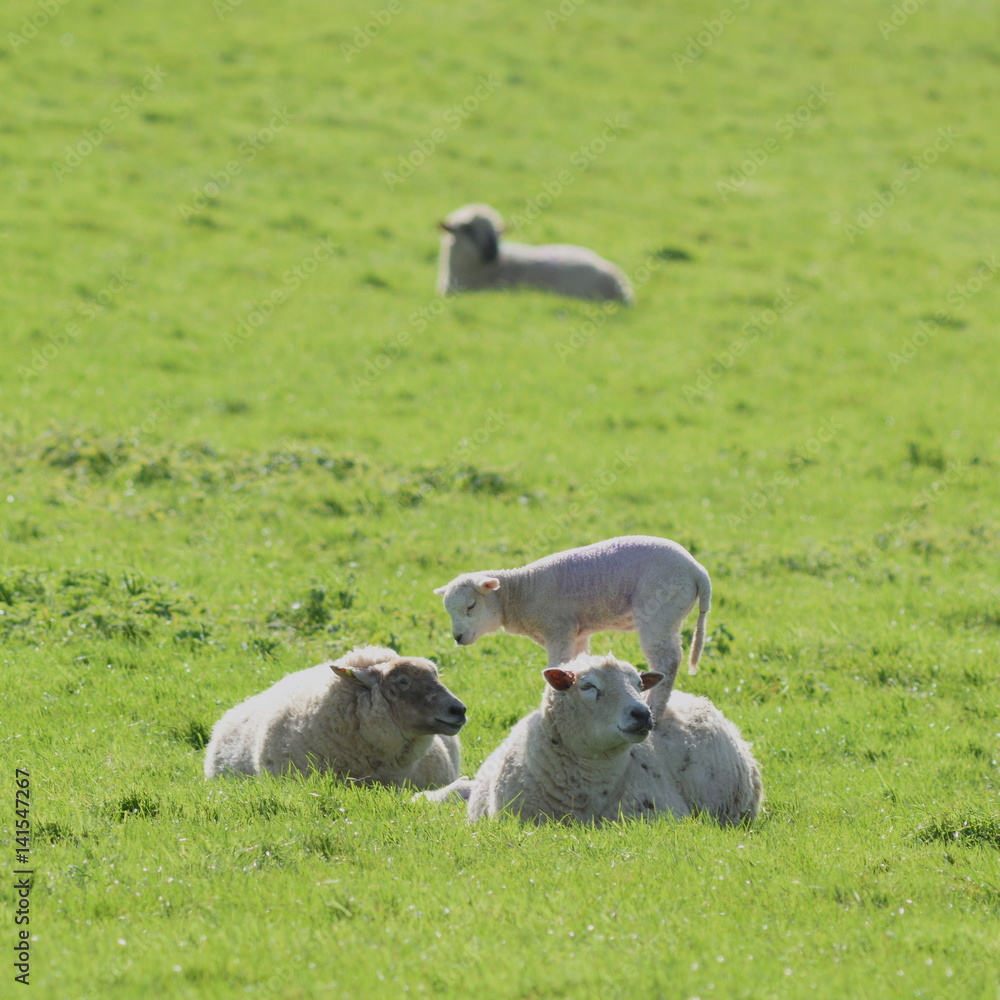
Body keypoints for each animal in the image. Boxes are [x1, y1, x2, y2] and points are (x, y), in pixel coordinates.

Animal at [433, 535, 711, 704]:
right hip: (671, 614)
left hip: (660, 607)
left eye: (470, 606)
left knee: (668, 660)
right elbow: (577, 662)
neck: (520, 593)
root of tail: (697, 569)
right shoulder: (576, 633)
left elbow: (558, 664)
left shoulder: (558, 629)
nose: (457, 637)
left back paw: (655, 707)